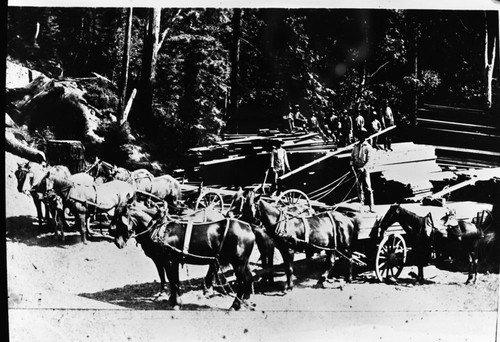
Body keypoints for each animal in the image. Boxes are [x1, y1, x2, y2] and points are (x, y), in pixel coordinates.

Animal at [112, 200, 256, 310]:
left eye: (120, 221)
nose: (117, 242)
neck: (159, 229)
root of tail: (248, 227)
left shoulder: (169, 260)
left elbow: (172, 280)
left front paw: (176, 302)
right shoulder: (168, 260)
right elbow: (171, 279)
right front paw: (172, 299)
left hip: (238, 263)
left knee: (242, 281)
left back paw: (234, 305)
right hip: (243, 262)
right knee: (248, 278)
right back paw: (245, 300)